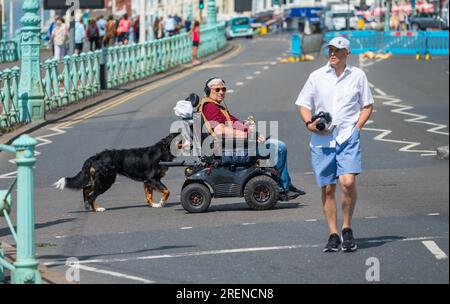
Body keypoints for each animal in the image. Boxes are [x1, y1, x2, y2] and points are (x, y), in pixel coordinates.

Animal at [54, 133, 183, 211]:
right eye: (182, 138)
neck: (162, 151)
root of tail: (95, 156)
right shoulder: (153, 178)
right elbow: (167, 191)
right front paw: (161, 202)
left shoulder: (147, 181)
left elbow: (149, 195)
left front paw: (154, 204)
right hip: (106, 181)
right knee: (91, 196)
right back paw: (97, 209)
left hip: (101, 180)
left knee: (86, 190)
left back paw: (88, 206)